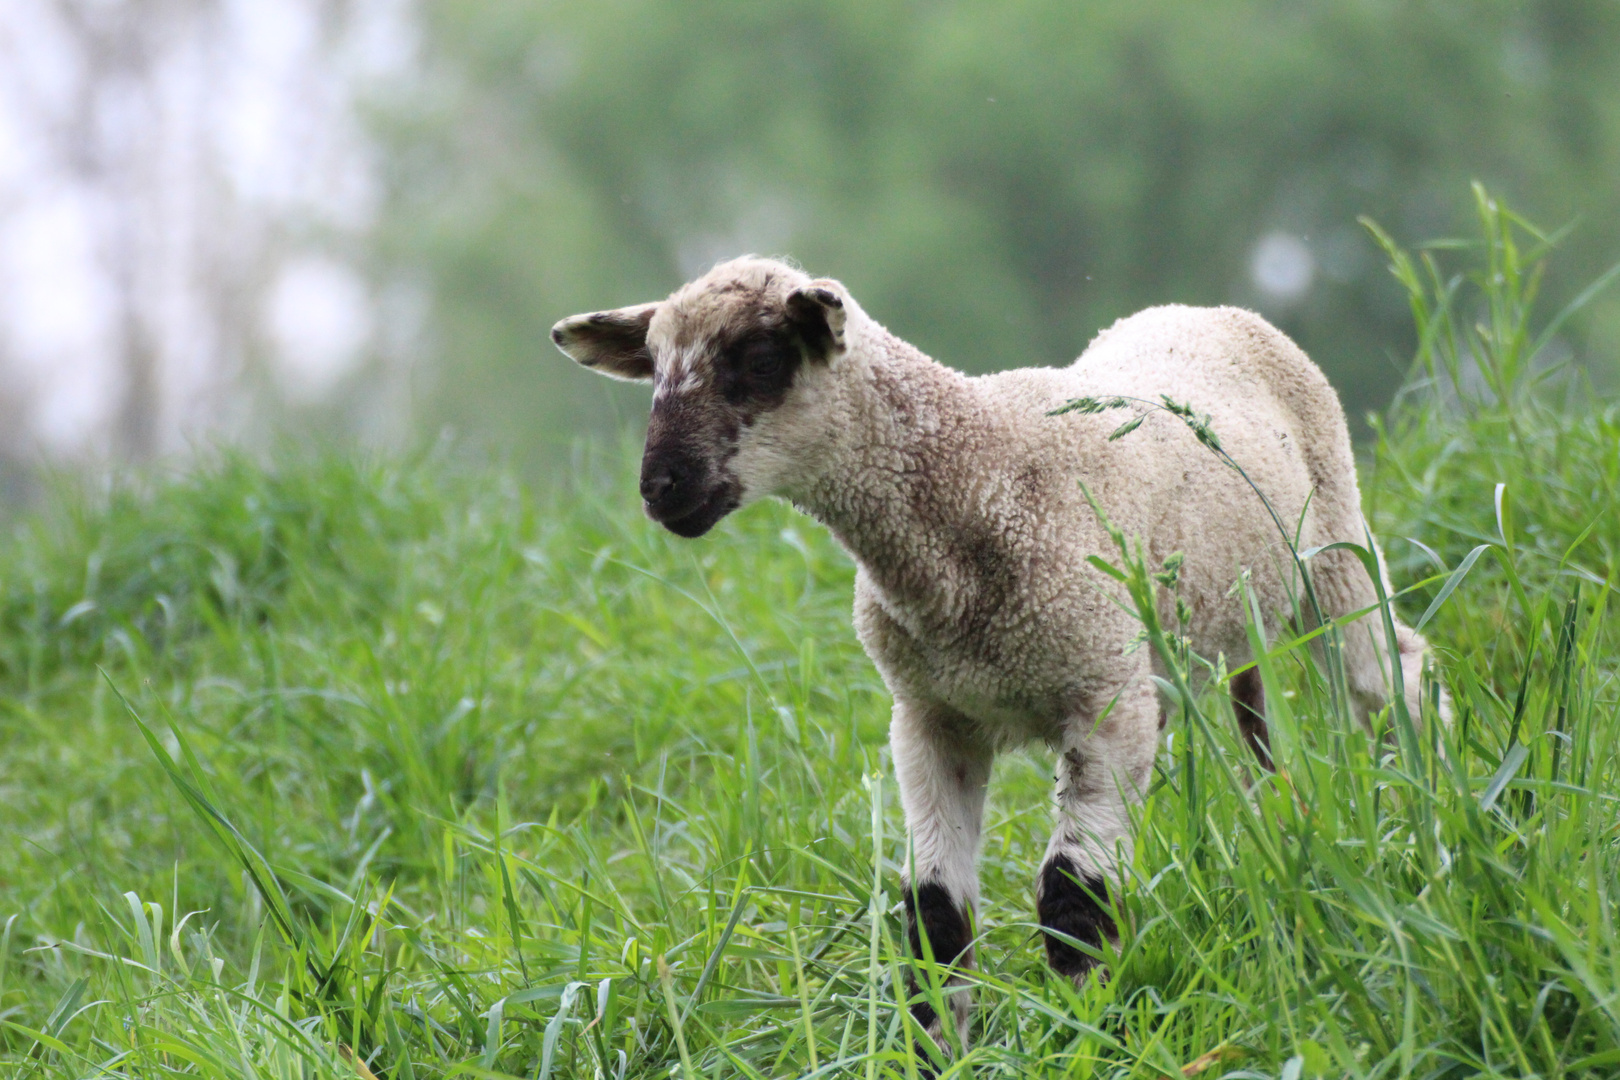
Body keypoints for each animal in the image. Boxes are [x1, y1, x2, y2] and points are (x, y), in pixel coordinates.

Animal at [547, 254, 1445, 1049]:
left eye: (762, 360)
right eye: (654, 368)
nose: (661, 489)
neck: (981, 477)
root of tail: (1208, 310)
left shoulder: (1106, 699)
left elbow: (1074, 901)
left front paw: (1090, 1038)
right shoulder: (930, 717)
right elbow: (934, 921)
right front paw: (943, 1051)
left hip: (1332, 550)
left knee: (1393, 674)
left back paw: (1422, 823)